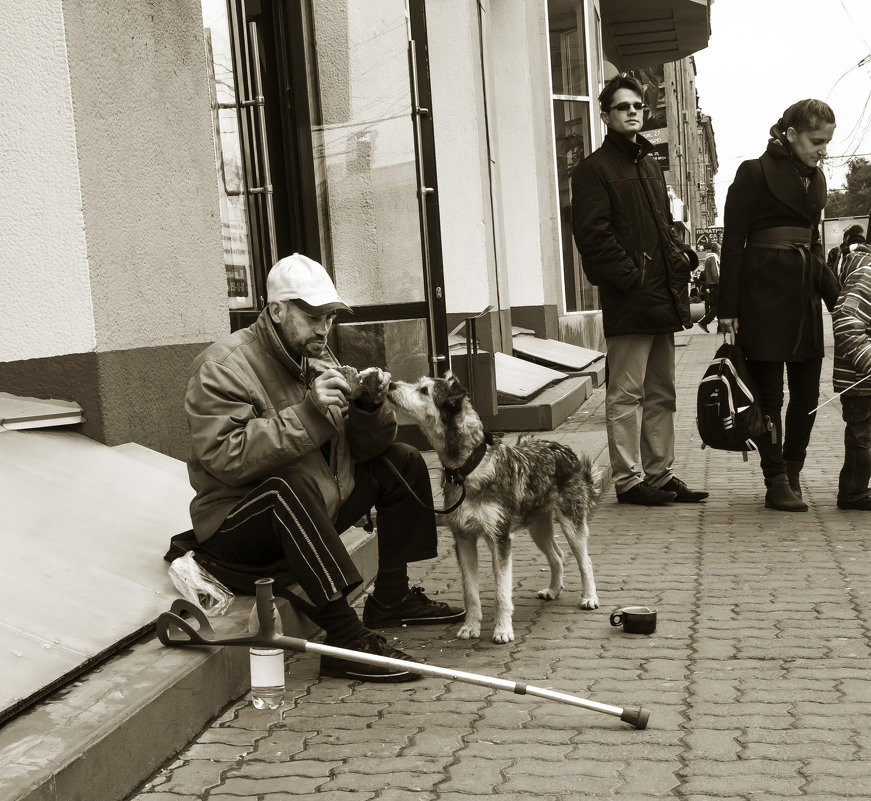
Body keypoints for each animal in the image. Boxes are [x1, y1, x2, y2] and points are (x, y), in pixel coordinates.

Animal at [386, 372, 600, 640]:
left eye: (424, 390)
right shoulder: (464, 539)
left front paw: (503, 630)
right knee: (557, 556)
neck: (468, 469)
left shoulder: (500, 540)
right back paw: (553, 589)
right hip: (538, 528)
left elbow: (501, 592)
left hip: (571, 524)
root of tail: (565, 450)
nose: (390, 384)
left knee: (585, 561)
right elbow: (470, 592)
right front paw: (471, 626)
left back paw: (589, 597)